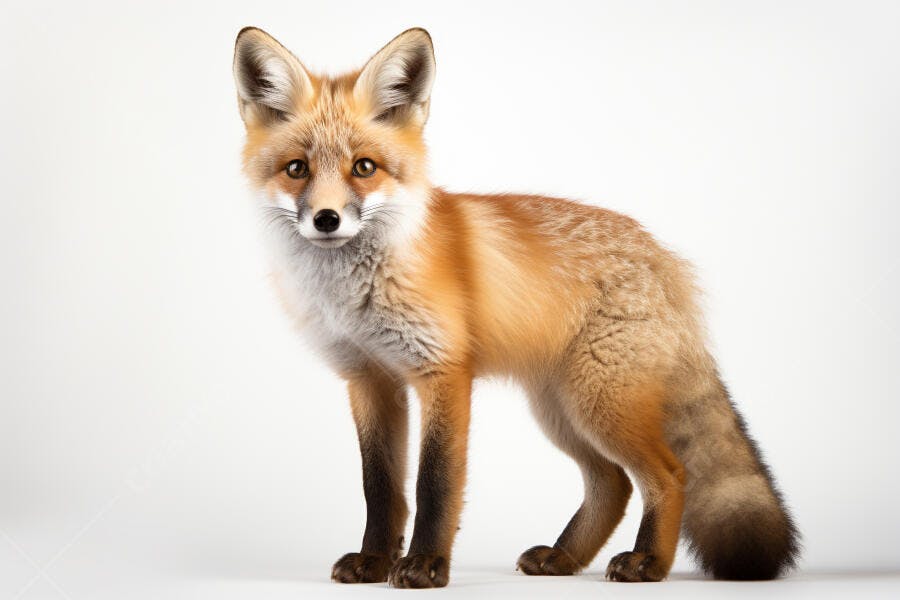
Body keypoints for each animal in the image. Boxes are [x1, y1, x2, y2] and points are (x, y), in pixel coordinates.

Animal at [231, 26, 799, 587]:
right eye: (297, 169)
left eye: (363, 167)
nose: (326, 219)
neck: (356, 294)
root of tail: (664, 258)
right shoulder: (369, 380)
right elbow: (381, 487)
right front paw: (374, 561)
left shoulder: (443, 372)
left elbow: (434, 483)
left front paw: (426, 565)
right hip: (561, 410)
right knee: (612, 483)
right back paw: (564, 557)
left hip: (600, 404)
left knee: (668, 474)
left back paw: (647, 562)